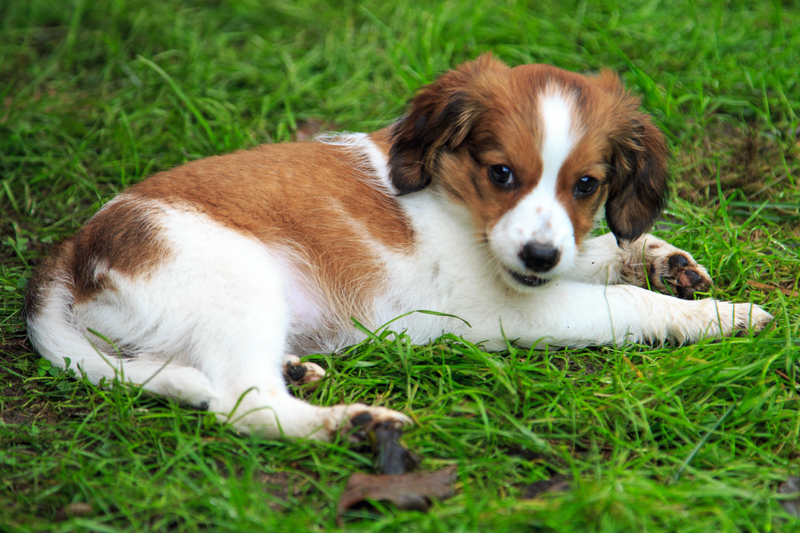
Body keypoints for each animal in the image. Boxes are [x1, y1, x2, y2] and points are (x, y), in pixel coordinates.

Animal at [25, 56, 772, 440]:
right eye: (502, 173)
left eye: (585, 184)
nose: (537, 258)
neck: (455, 199)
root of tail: (72, 255)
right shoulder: (505, 309)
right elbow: (624, 303)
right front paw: (719, 316)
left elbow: (601, 253)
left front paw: (662, 258)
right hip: (237, 283)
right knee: (243, 404)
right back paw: (351, 423)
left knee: (188, 372)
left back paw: (297, 370)